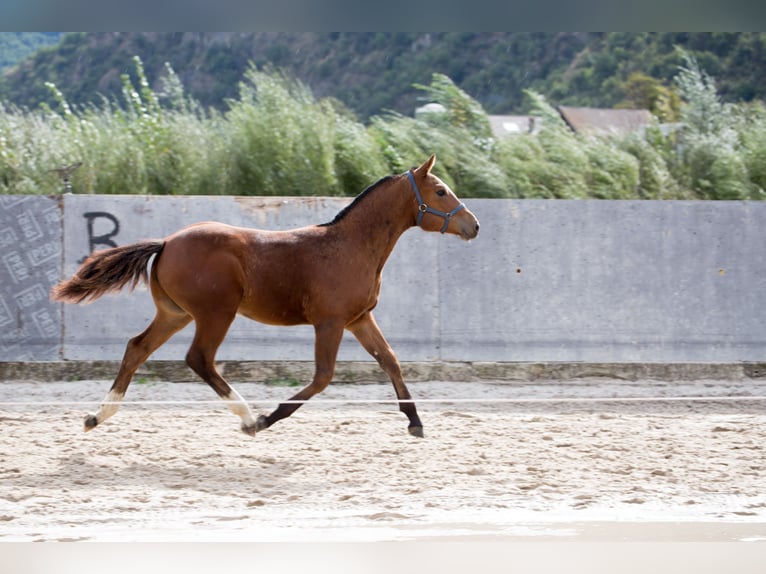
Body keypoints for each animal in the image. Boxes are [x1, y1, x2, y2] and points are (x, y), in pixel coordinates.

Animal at [49, 155, 480, 438]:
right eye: (440, 191)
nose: (473, 225)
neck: (351, 246)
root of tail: (168, 242)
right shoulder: (330, 322)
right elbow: (323, 377)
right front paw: (268, 418)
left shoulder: (359, 318)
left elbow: (390, 360)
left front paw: (416, 422)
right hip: (215, 313)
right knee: (199, 359)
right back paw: (247, 418)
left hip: (175, 314)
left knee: (137, 347)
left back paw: (97, 416)